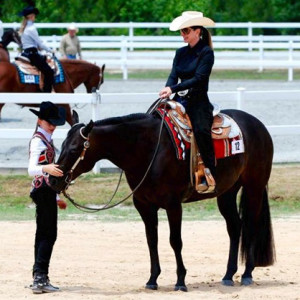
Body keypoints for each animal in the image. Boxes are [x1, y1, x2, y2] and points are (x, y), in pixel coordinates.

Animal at [48, 109, 274, 292]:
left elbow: (175, 241)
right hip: (226, 193)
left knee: (251, 226)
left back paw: (247, 274)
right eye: (61, 145)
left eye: (75, 149)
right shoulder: (144, 206)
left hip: (254, 187)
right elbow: (152, 240)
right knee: (235, 227)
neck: (147, 151)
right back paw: (228, 275)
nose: (53, 180)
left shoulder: (173, 205)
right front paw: (152, 279)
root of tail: (257, 124)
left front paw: (181, 281)